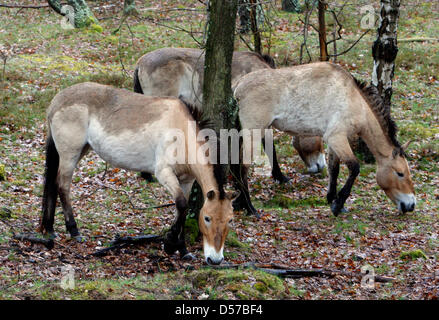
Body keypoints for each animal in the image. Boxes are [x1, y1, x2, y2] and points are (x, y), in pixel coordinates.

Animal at [40, 82, 241, 264]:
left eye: (230, 220)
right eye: (207, 218)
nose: (215, 259)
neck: (181, 133)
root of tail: (56, 102)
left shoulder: (186, 181)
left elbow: (182, 209)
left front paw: (182, 249)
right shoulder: (164, 173)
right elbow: (182, 204)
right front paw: (170, 244)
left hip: (82, 149)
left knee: (54, 184)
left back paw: (50, 229)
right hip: (70, 154)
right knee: (62, 186)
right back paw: (74, 231)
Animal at [234, 62, 416, 216]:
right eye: (400, 173)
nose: (411, 205)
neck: (354, 100)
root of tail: (238, 86)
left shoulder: (335, 142)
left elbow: (334, 169)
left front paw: (332, 200)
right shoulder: (336, 138)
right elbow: (354, 167)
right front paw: (337, 205)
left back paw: (239, 203)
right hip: (254, 133)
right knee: (243, 168)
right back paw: (250, 208)